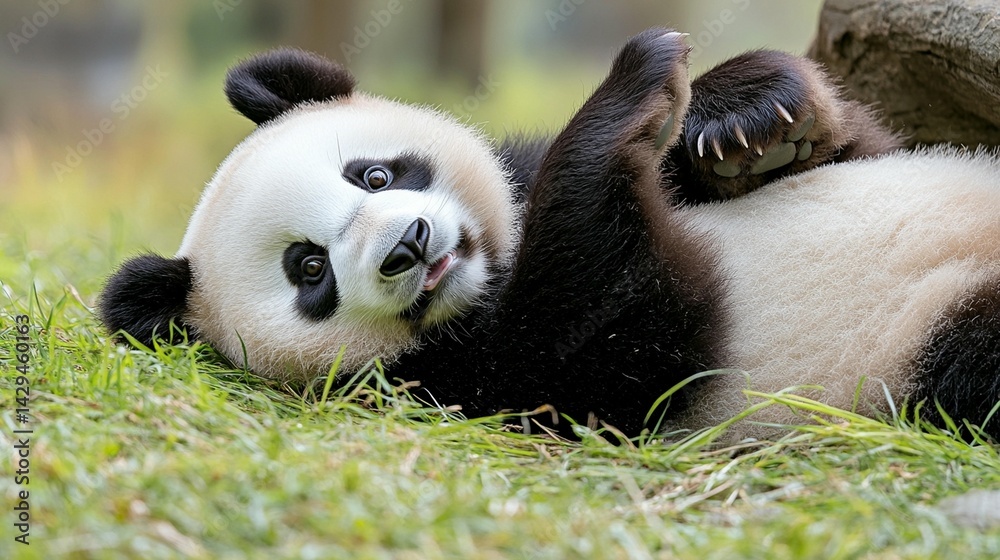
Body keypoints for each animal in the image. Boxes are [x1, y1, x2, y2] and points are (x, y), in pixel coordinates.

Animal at [99, 29, 1000, 441]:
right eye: (308, 270)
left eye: (374, 175)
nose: (410, 244)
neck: (493, 272)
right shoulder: (467, 380)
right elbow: (607, 331)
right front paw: (632, 89)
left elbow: (860, 147)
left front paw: (752, 116)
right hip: (922, 344)